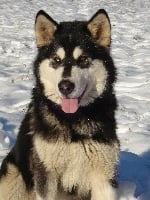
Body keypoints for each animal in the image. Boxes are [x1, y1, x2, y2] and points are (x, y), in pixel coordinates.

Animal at [0, 8, 119, 199]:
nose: (65, 86)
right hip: (14, 175)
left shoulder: (104, 175)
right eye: (56, 59)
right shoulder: (45, 174)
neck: (73, 122)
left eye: (83, 59)